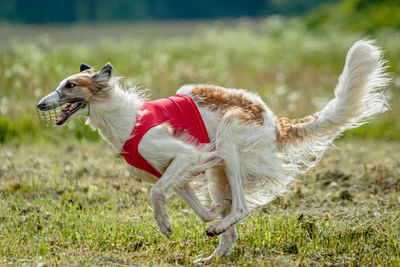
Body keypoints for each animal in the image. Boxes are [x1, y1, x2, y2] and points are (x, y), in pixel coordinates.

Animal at [36, 39, 388, 264]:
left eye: (69, 85)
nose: (39, 105)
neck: (127, 119)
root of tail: (274, 121)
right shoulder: (176, 172)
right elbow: (196, 206)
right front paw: (210, 214)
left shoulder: (186, 157)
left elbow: (156, 194)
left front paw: (166, 226)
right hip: (220, 170)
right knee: (230, 228)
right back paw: (211, 251)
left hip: (229, 143)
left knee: (242, 207)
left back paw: (219, 227)